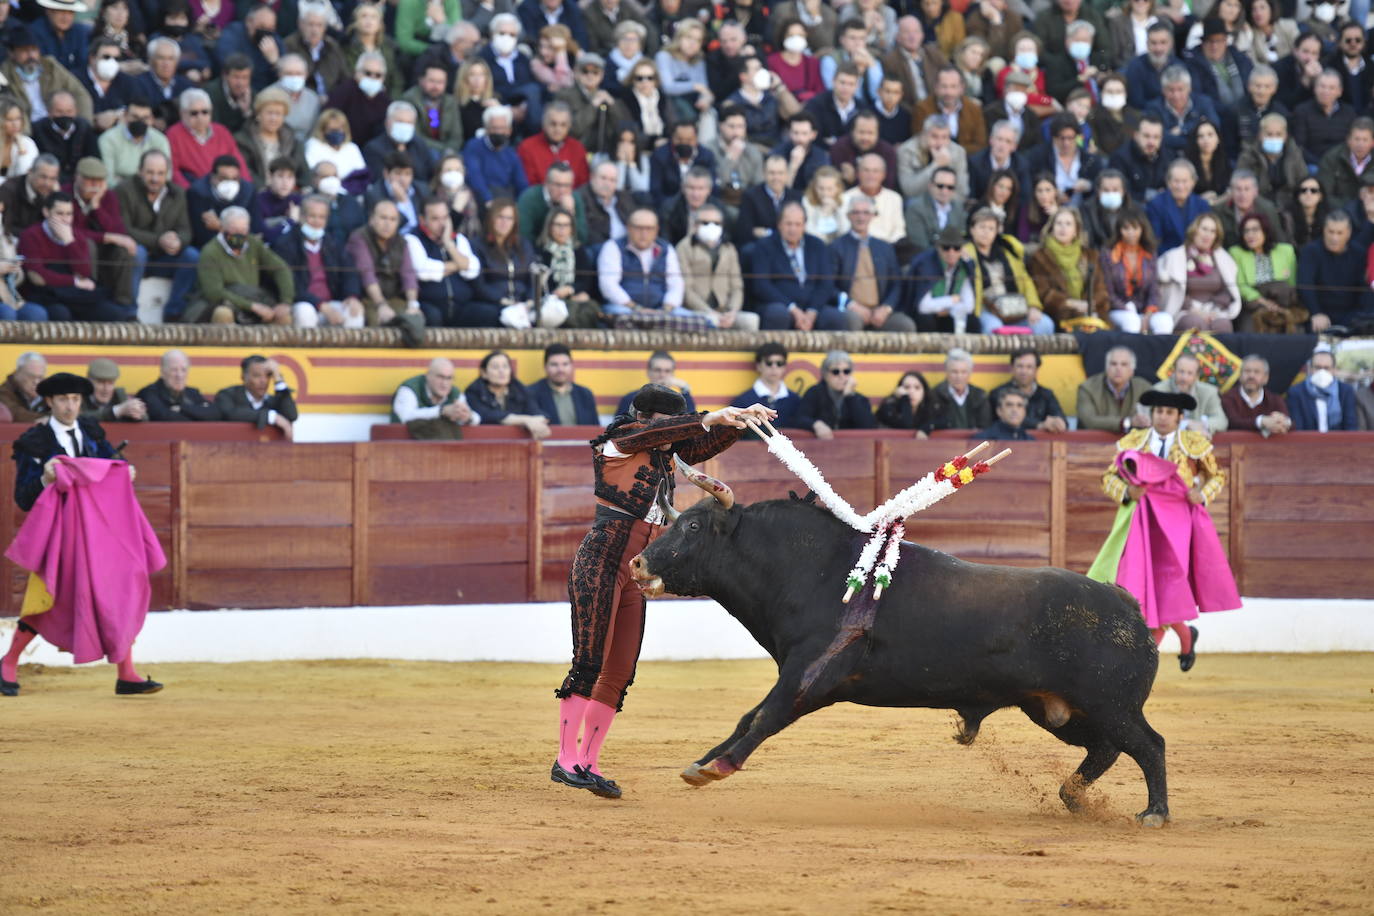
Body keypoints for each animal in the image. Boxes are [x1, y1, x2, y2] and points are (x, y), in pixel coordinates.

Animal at [626, 497, 1170, 829]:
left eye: (692, 525)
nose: (638, 562)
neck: (816, 570)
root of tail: (1129, 607)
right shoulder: (798, 672)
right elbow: (748, 716)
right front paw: (700, 764)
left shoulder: (812, 674)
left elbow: (765, 716)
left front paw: (720, 765)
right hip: (1057, 710)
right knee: (1107, 748)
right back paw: (1074, 796)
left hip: (1109, 705)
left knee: (1149, 744)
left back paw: (1154, 813)